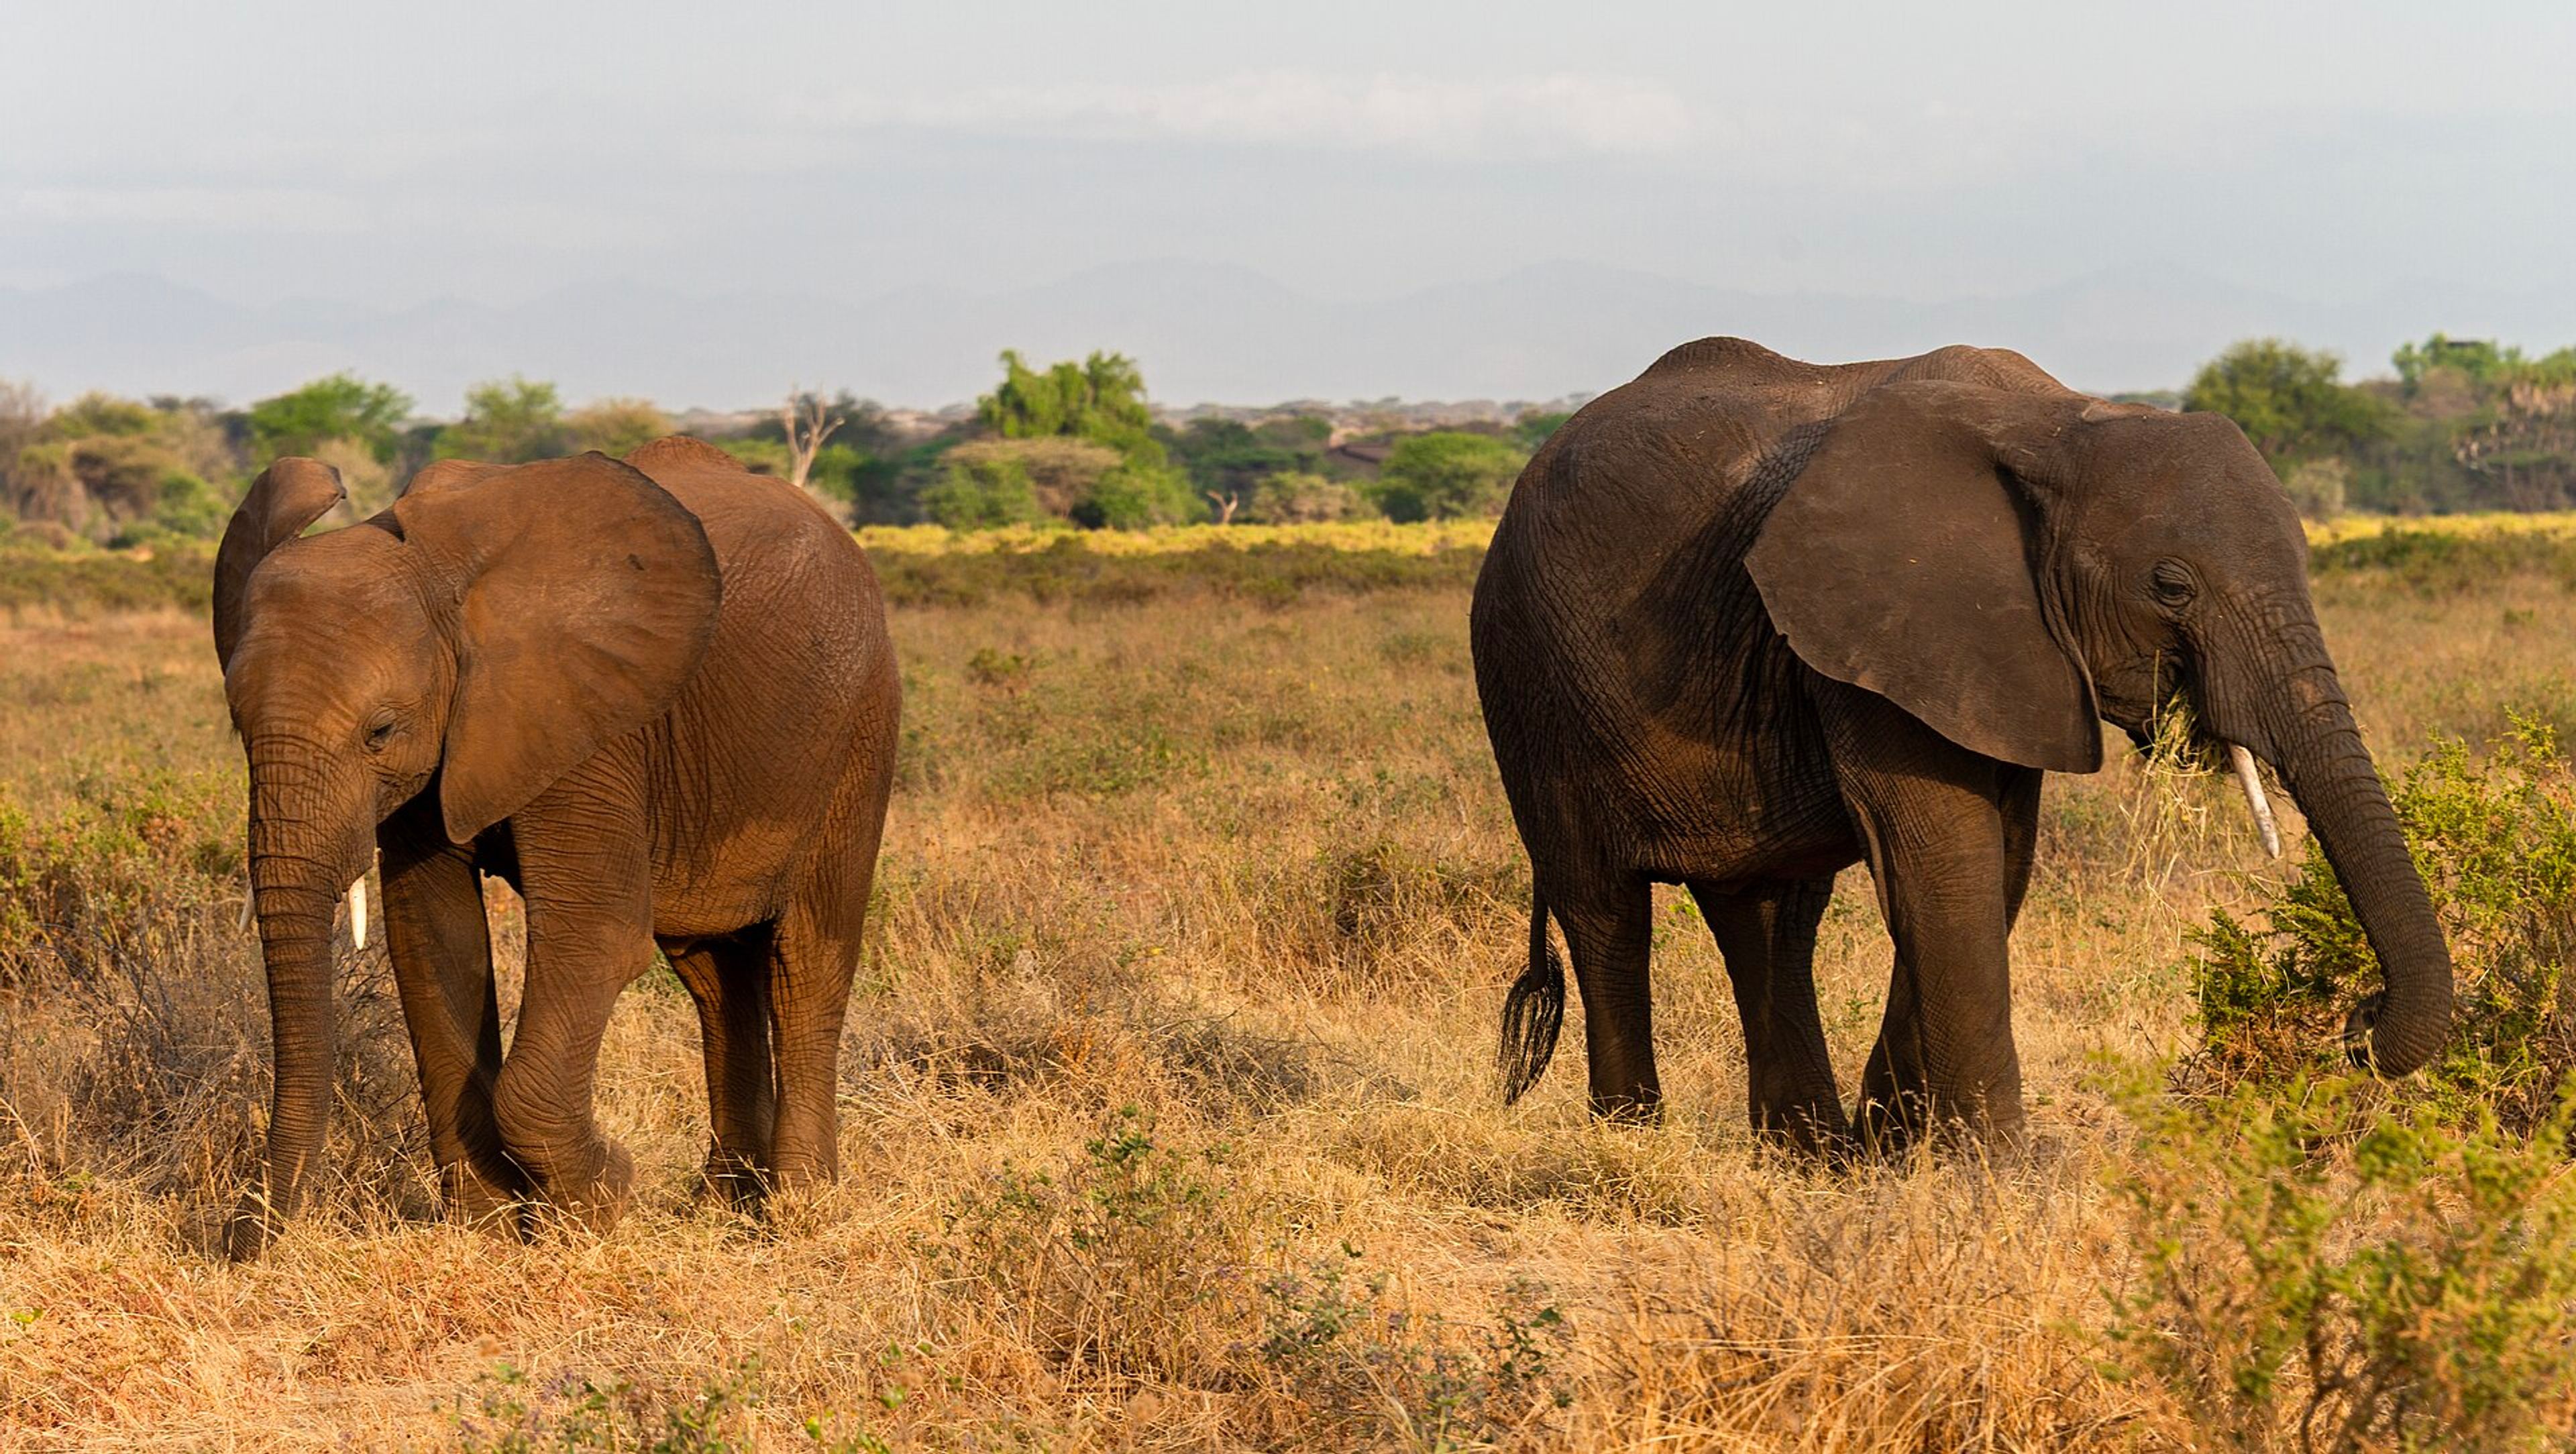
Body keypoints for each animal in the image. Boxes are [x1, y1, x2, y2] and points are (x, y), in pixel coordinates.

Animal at [212, 437, 900, 1258]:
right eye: (237, 726)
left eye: (380, 730)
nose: (241, 1240)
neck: (448, 585)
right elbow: (434, 938)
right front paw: (487, 1228)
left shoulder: (591, 720)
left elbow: (597, 936)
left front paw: (596, 1205)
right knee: (712, 974)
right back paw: (722, 1205)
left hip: (859, 723)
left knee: (808, 960)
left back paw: (797, 1209)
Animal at [1470, 338, 2452, 1152]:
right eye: (2171, 586)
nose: (2356, 1022)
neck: (2058, 423)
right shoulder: (1884, 619)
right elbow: (1942, 856)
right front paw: (1996, 1173)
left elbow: (1991, 865)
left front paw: (1901, 1148)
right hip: (1528, 682)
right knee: (1604, 909)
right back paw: (1632, 1144)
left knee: (1769, 914)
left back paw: (1809, 1157)